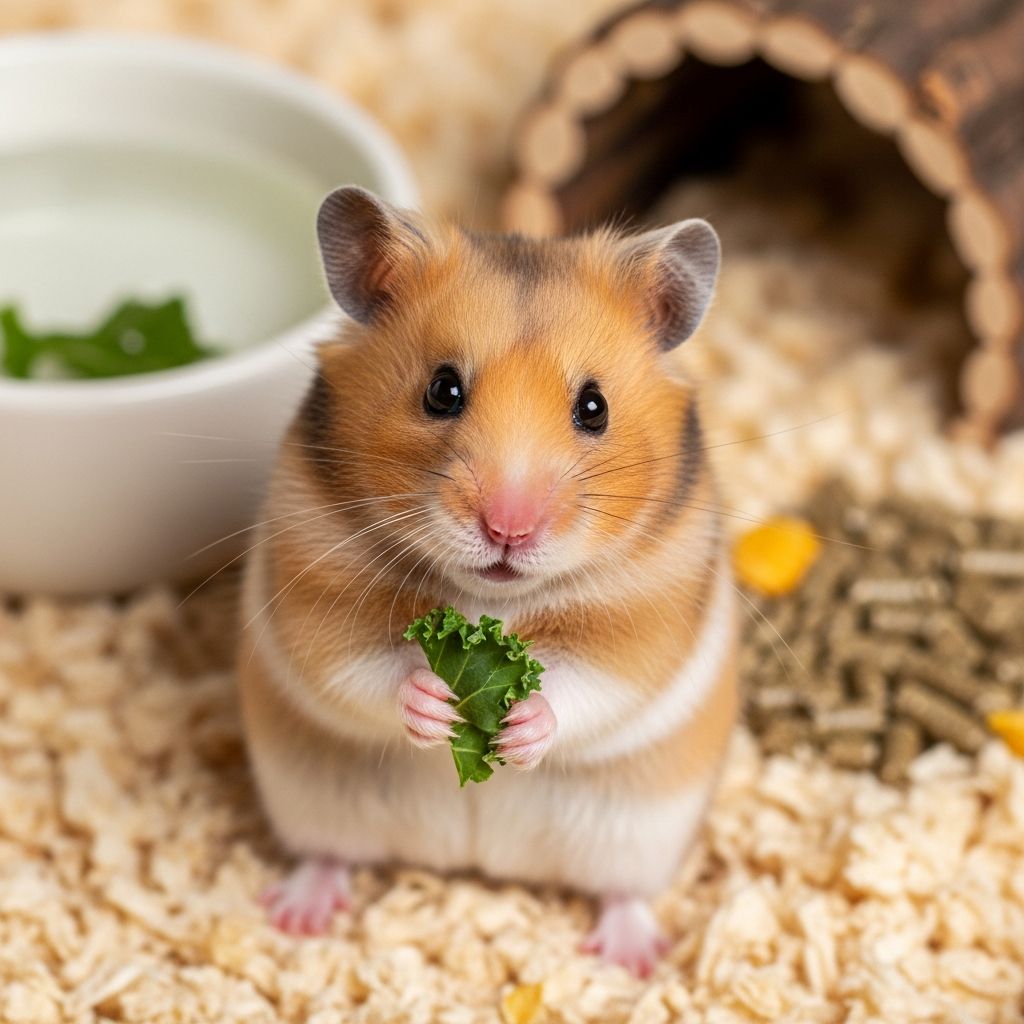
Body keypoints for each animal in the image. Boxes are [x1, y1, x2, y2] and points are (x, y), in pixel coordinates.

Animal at [238, 186, 737, 976]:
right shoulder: (314, 580)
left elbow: (588, 684)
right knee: (327, 855)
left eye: (593, 407)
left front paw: (524, 723)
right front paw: (436, 700)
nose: (508, 529)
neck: (492, 602)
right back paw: (297, 916)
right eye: (442, 390)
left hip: (639, 832)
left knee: (623, 892)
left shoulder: (644, 622)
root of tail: (474, 860)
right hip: (311, 798)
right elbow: (365, 667)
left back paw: (633, 959)